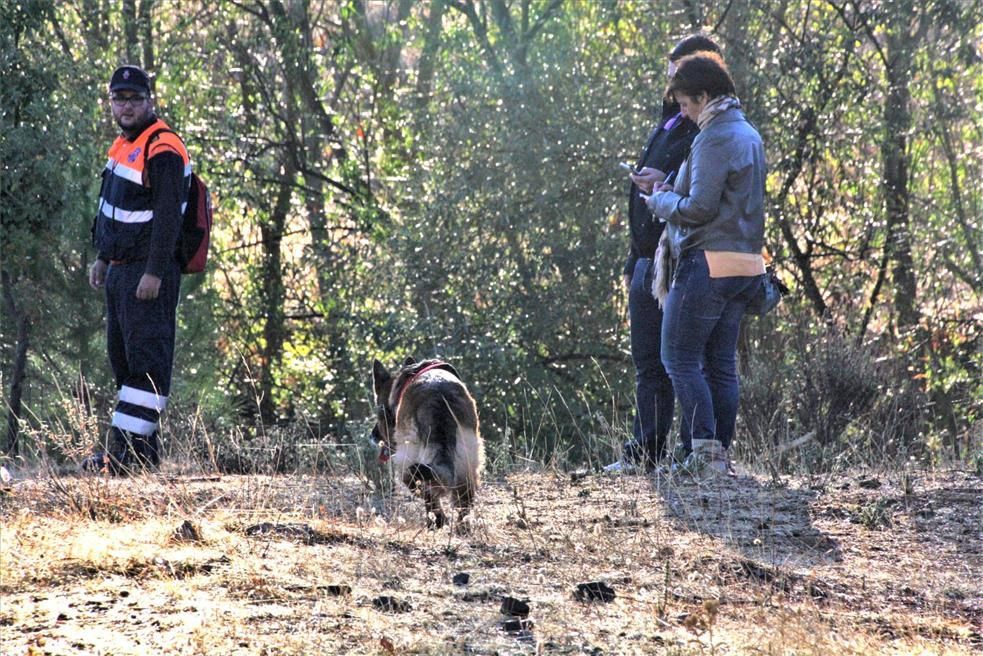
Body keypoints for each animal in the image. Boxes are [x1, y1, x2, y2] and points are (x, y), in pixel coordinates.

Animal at [372, 358, 484, 528]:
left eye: (381, 415)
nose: (373, 436)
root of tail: (439, 397)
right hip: (468, 456)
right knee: (464, 500)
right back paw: (460, 527)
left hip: (410, 455)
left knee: (420, 485)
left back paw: (437, 521)